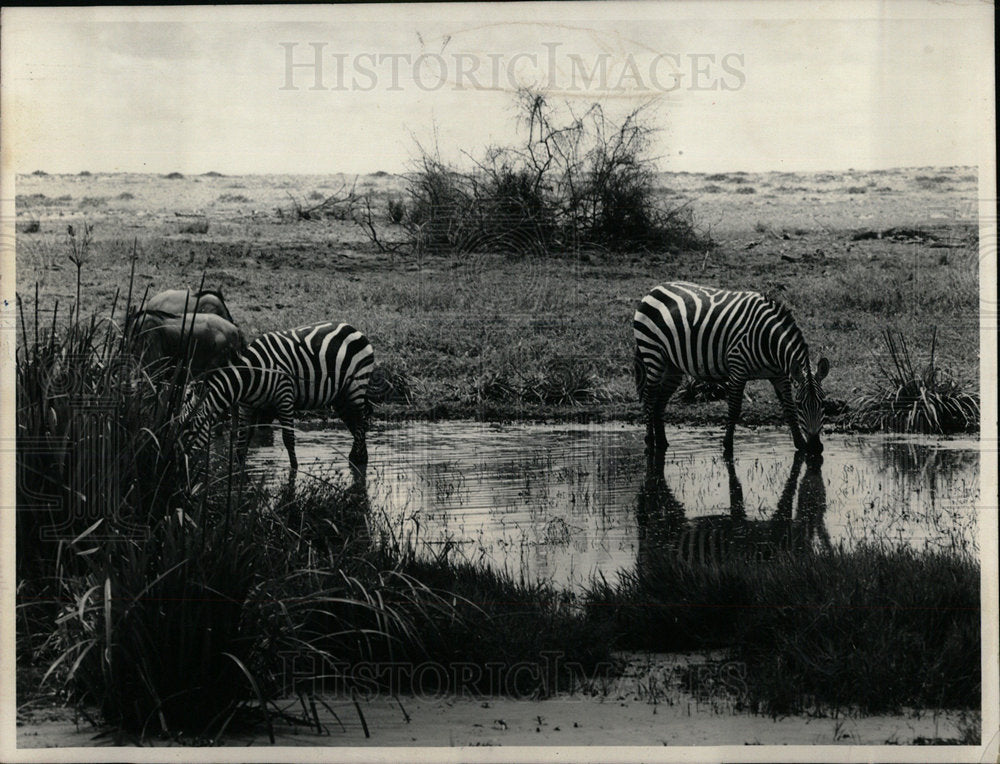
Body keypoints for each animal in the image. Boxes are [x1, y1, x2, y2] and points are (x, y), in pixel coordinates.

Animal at [183, 320, 376, 478]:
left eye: (189, 426)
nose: (179, 462)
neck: (250, 376)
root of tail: (353, 328)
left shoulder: (285, 397)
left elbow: (288, 438)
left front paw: (294, 470)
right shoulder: (247, 406)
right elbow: (242, 440)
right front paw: (238, 470)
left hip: (356, 385)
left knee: (360, 421)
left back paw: (358, 461)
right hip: (340, 396)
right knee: (354, 422)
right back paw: (359, 457)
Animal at [636, 282, 832, 456]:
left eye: (823, 403)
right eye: (801, 404)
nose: (815, 447)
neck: (768, 340)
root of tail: (655, 288)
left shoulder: (780, 375)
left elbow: (788, 409)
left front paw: (800, 445)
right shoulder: (738, 369)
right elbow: (734, 409)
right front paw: (727, 446)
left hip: (672, 366)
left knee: (659, 401)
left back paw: (662, 443)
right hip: (653, 353)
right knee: (649, 396)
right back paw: (649, 441)